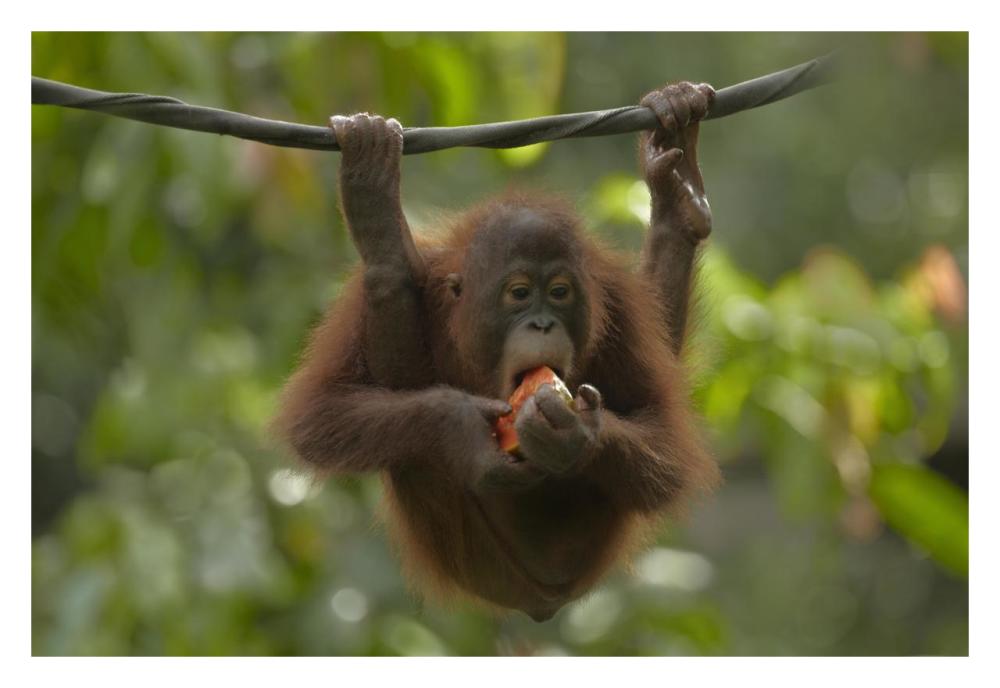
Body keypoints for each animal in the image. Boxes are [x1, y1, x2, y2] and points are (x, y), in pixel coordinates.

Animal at [274, 81, 719, 622]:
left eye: (560, 292)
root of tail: (539, 601)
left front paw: (574, 436)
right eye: (520, 293)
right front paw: (462, 426)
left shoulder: (619, 302)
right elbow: (319, 415)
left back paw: (679, 194)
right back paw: (380, 230)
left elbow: (666, 440)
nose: (543, 323)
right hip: (472, 557)